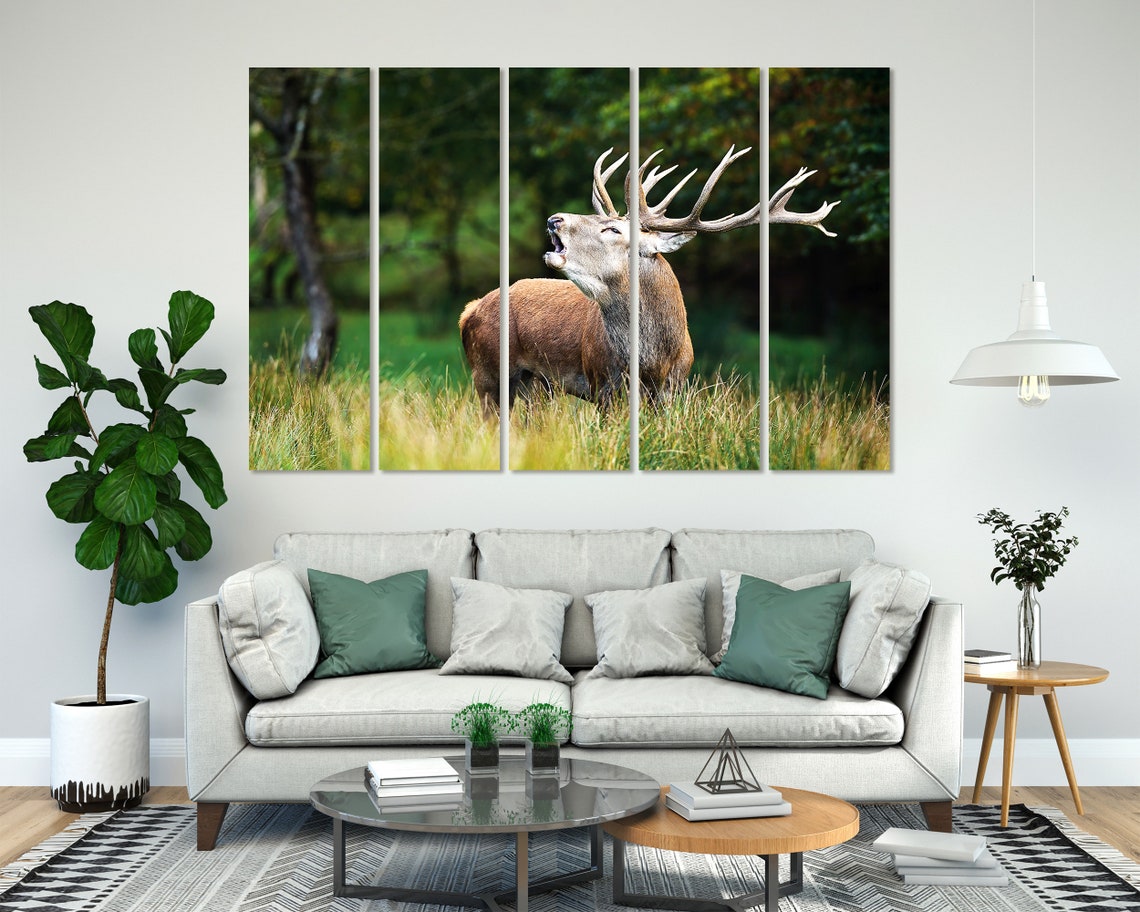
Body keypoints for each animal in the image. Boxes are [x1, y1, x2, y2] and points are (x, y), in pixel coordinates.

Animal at [459, 146, 839, 416]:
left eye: (612, 229)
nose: (555, 219)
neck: (654, 361)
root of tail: (470, 310)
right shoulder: (603, 385)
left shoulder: (673, 389)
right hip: (488, 373)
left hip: (535, 385)